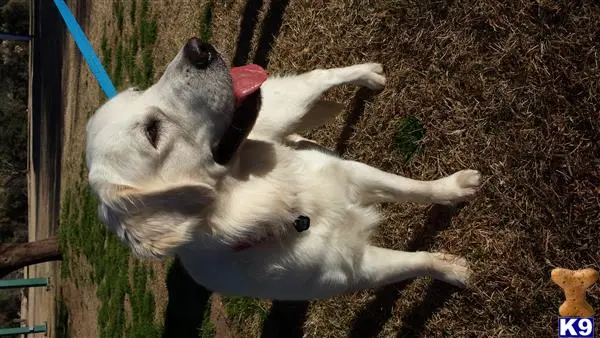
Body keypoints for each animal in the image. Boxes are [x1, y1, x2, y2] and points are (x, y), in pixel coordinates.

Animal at [84, 37, 480, 302]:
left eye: (140, 90)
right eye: (152, 132)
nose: (197, 47)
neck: (287, 209)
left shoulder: (353, 174)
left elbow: (411, 187)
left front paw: (455, 187)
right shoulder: (355, 269)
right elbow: (414, 262)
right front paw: (452, 269)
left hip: (290, 101)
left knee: (321, 75)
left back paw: (368, 75)